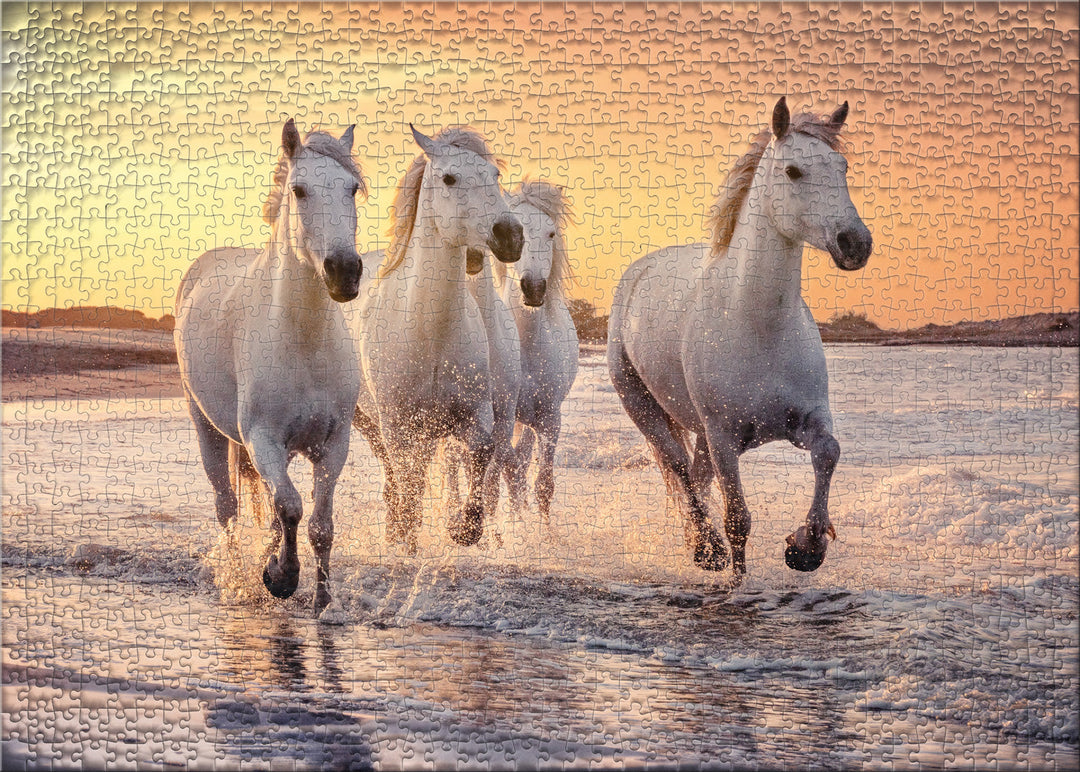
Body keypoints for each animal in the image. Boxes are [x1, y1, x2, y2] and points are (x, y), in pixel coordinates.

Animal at [174, 119, 365, 615]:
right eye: (299, 190)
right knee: (227, 508)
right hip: (207, 427)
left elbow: (319, 525)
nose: (344, 271)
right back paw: (238, 578)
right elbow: (292, 508)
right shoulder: (262, 439)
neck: (303, 340)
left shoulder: (334, 445)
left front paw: (322, 602)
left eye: (352, 188)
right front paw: (281, 578)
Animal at [345, 125, 523, 554]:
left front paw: (463, 528)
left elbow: (481, 453)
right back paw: (397, 532)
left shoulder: (476, 414)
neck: (431, 332)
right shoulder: (398, 425)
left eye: (494, 175)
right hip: (371, 422)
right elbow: (408, 481)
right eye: (449, 179)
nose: (510, 235)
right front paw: (409, 540)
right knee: (395, 476)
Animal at [493, 180, 579, 521]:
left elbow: (543, 484)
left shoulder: (550, 419)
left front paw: (542, 530)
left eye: (551, 233)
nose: (533, 288)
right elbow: (510, 475)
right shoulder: (499, 420)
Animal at [607, 97, 872, 575]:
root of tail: (637, 273)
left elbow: (829, 452)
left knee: (695, 476)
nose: (855, 243)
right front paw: (737, 575)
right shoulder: (724, 438)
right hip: (644, 408)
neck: (758, 325)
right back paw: (705, 548)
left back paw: (697, 543)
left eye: (842, 167)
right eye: (793, 171)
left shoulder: (808, 420)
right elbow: (738, 521)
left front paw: (806, 546)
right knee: (679, 469)